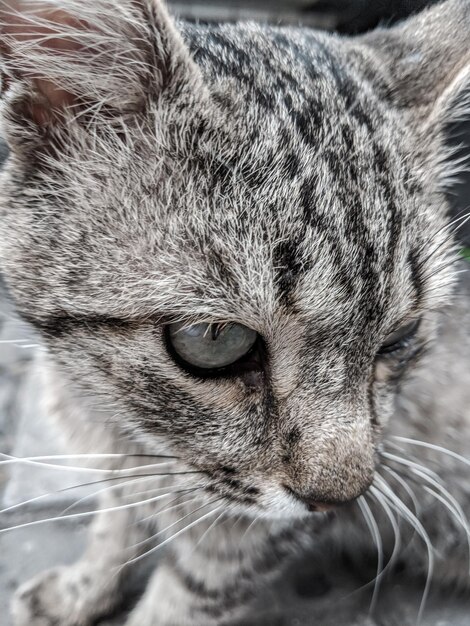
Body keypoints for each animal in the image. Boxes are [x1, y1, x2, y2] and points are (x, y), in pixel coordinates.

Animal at [0, 0, 468, 620]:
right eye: (213, 339)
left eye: (401, 336)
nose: (341, 496)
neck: (123, 427)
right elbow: (116, 521)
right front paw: (83, 586)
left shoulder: (244, 537)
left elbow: (184, 597)